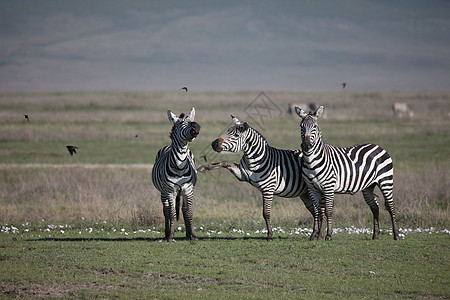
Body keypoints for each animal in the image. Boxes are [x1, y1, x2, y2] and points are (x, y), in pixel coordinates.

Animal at [151, 108, 200, 241]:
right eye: (180, 123)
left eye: (192, 120)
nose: (196, 127)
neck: (180, 166)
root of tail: (168, 146)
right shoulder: (170, 192)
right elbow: (172, 214)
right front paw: (171, 236)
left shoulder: (189, 191)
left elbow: (189, 212)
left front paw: (193, 235)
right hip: (163, 192)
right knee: (166, 210)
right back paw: (167, 233)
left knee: (183, 209)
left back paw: (188, 234)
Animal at [296, 104, 400, 240]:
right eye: (301, 126)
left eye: (315, 127)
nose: (306, 145)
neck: (311, 162)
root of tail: (378, 146)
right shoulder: (313, 189)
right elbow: (319, 211)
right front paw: (318, 236)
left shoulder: (328, 187)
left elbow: (328, 211)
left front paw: (328, 235)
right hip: (368, 186)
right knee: (375, 207)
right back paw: (375, 235)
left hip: (386, 181)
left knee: (391, 206)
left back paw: (396, 235)